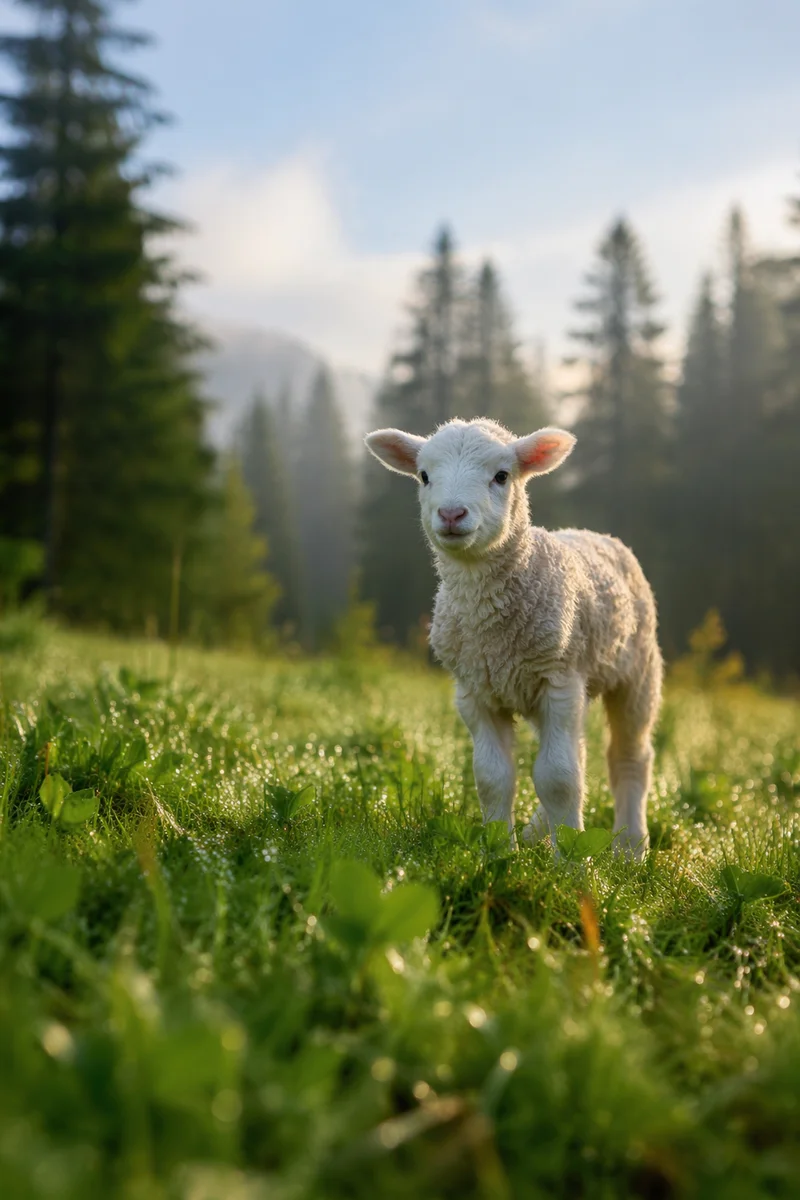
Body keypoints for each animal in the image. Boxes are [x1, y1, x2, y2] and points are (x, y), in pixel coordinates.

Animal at [365, 417, 662, 860]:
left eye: (502, 476)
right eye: (424, 476)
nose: (451, 513)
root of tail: (597, 534)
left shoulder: (559, 680)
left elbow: (558, 778)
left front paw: (570, 863)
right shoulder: (475, 692)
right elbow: (493, 778)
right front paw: (500, 854)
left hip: (637, 671)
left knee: (629, 756)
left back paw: (630, 850)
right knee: (579, 752)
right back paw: (538, 831)